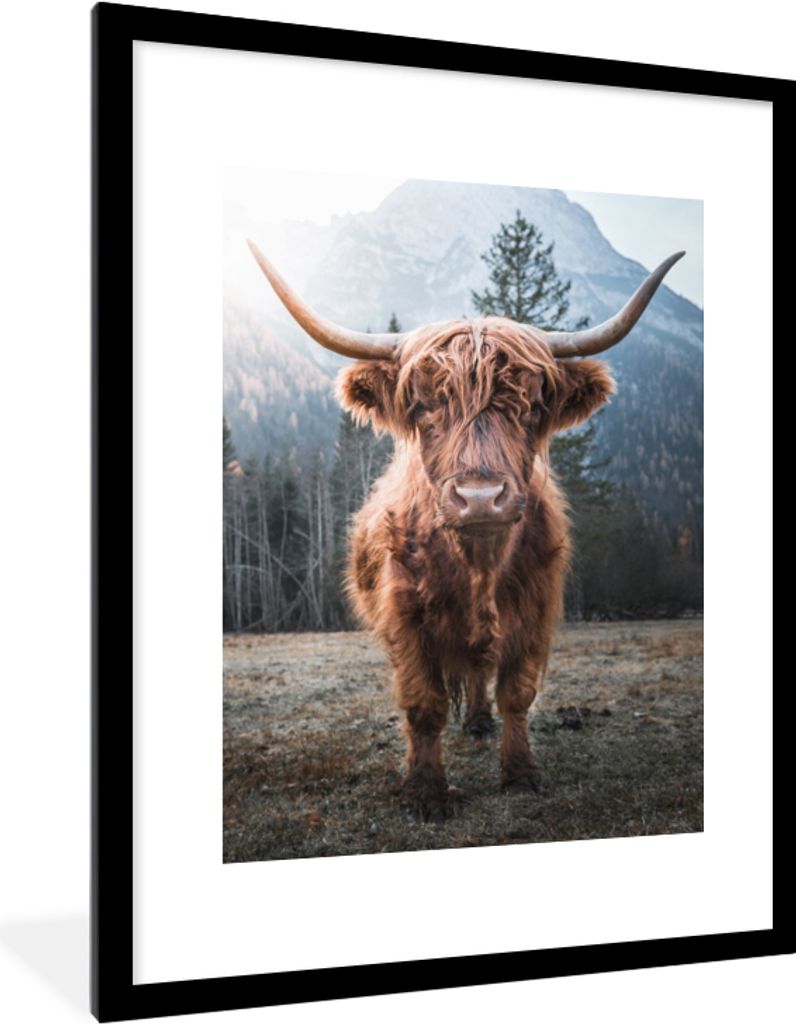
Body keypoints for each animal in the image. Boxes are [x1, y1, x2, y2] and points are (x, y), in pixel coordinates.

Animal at [247, 239, 684, 823]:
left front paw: (520, 774)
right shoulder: (404, 618)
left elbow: (517, 694)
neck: (478, 564)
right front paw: (425, 792)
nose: (479, 497)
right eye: (423, 404)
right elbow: (424, 705)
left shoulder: (536, 610)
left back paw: (478, 723)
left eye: (531, 404)